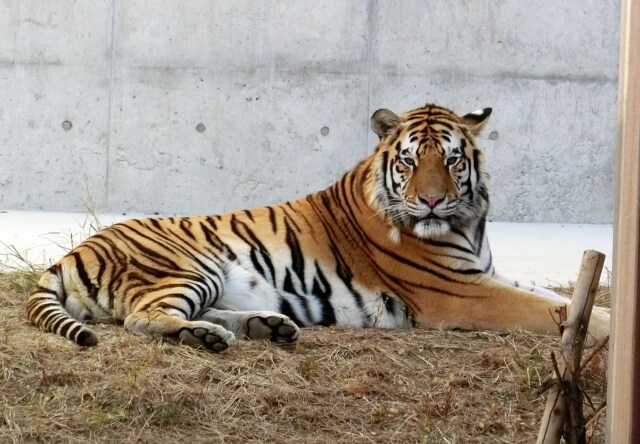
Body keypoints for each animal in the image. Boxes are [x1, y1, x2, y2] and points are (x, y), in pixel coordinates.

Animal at [26, 102, 608, 352]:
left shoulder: (485, 274)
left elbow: (562, 297)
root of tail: (73, 252)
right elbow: (550, 309)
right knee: (141, 319)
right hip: (188, 265)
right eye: (410, 160)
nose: (432, 201)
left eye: (451, 158)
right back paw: (209, 337)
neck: (468, 223)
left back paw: (268, 326)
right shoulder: (459, 292)